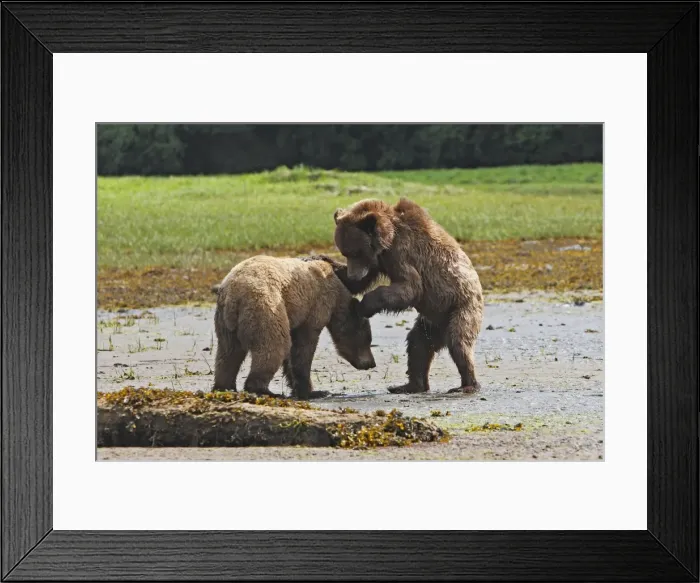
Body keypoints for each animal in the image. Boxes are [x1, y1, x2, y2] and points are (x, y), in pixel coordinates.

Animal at [212, 255, 376, 400]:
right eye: (367, 340)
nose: (371, 363)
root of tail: (233, 296)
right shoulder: (316, 305)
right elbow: (303, 347)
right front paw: (313, 391)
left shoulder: (293, 315)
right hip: (264, 307)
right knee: (274, 345)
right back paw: (265, 390)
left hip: (225, 323)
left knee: (228, 354)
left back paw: (224, 387)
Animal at [331, 198, 484, 395]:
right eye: (345, 252)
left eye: (357, 252)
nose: (352, 275)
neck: (387, 239)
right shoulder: (379, 260)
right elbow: (364, 281)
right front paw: (328, 265)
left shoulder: (402, 252)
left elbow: (410, 288)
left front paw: (363, 305)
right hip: (431, 323)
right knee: (418, 344)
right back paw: (409, 385)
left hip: (461, 307)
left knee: (459, 342)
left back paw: (467, 384)